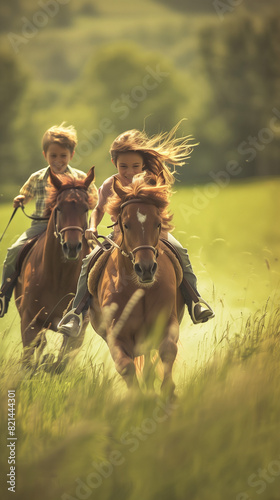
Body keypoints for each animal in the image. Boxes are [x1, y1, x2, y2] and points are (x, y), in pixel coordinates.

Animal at [15, 167, 96, 368]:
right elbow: (28, 360)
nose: (72, 247)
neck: (58, 277)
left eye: (85, 209)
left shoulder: (78, 328)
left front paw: (50, 364)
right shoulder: (30, 322)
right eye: (59, 208)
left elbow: (63, 361)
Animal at [88, 174, 185, 396]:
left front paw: (169, 393)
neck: (138, 290)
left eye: (158, 223)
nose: (146, 268)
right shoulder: (116, 334)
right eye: (126, 224)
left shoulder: (166, 321)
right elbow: (125, 366)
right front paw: (139, 398)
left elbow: (167, 351)